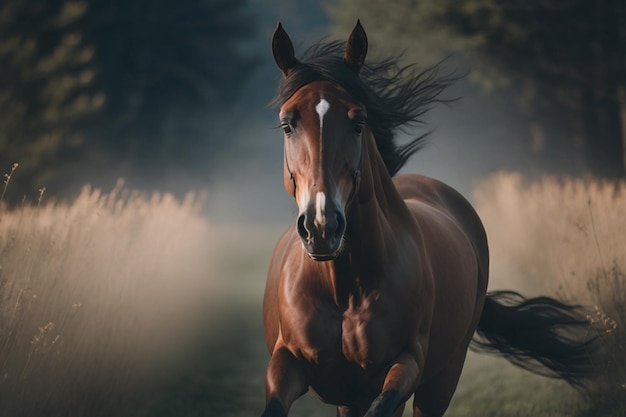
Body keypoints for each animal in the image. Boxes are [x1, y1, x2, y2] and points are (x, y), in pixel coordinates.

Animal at [260, 21, 592, 416]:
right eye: (286, 124)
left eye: (358, 122)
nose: (322, 227)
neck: (345, 290)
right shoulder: (288, 364)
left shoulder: (405, 365)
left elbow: (385, 402)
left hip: (443, 378)